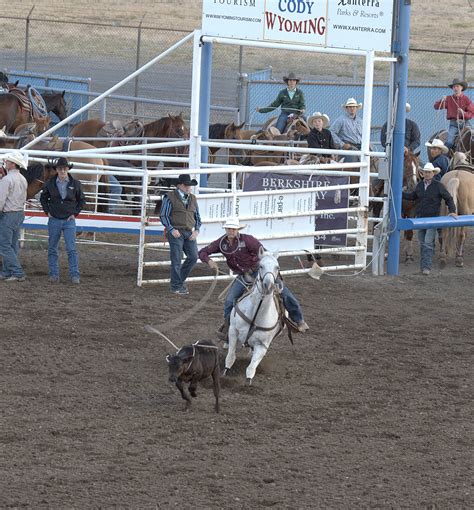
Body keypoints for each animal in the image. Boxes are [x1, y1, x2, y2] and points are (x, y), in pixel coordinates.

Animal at [223, 249, 286, 384]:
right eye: (260, 266)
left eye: (277, 267)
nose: (268, 285)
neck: (255, 315)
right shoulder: (233, 331)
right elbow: (230, 356)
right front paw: (224, 372)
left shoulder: (262, 346)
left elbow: (251, 368)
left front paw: (248, 382)